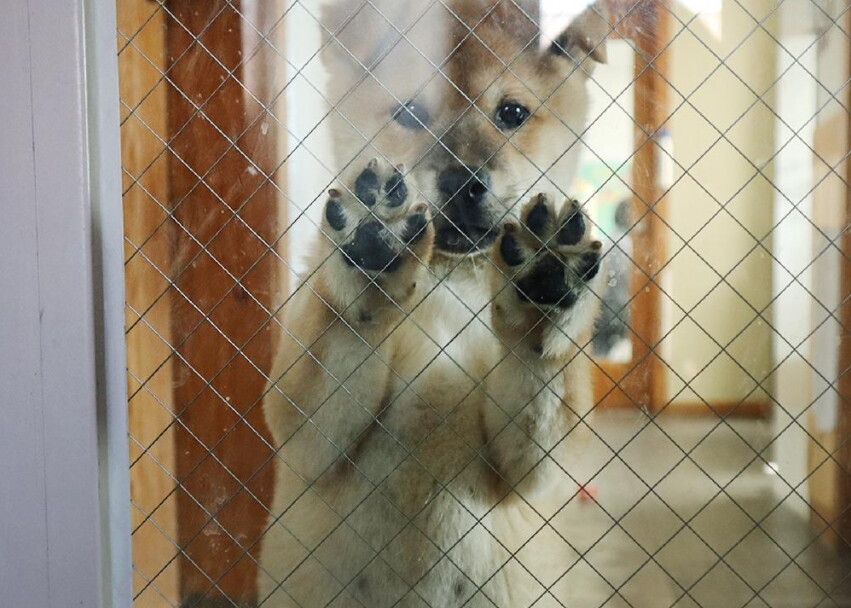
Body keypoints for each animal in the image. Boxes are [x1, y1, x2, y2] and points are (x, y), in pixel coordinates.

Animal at [260, 2, 612, 604]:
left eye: (512, 112)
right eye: (409, 112)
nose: (463, 179)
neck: (451, 287)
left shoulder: (530, 468)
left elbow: (538, 363)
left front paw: (545, 287)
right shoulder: (305, 434)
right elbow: (348, 327)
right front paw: (373, 247)